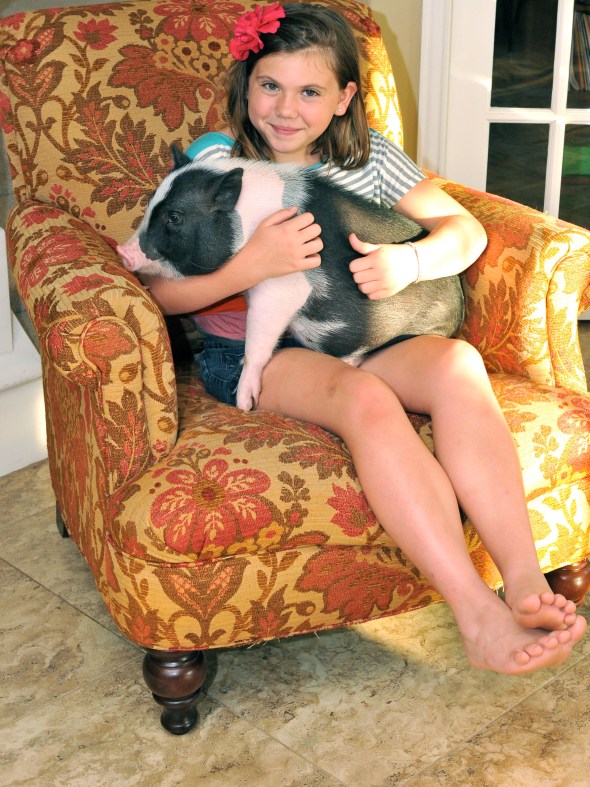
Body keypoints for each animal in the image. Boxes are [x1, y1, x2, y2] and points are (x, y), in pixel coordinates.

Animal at [117, 147, 465, 411]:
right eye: (151, 203)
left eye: (174, 216)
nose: (121, 251)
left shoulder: (282, 287)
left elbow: (258, 340)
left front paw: (245, 403)